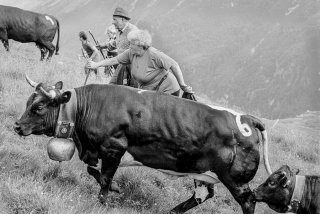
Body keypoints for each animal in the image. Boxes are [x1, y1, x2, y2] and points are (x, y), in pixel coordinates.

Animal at [13, 77, 272, 214]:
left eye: (38, 107)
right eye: (28, 102)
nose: (16, 126)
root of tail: (248, 119)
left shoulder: (113, 147)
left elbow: (104, 177)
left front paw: (104, 199)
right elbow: (91, 170)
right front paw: (116, 188)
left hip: (235, 178)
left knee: (247, 201)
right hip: (203, 172)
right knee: (201, 195)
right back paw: (171, 212)